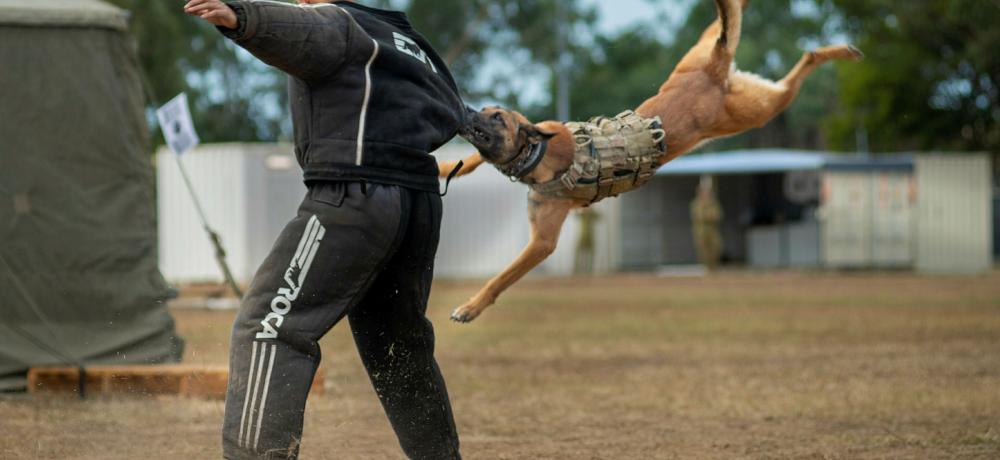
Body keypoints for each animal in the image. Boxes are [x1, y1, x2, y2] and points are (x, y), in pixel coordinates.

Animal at [442, 0, 864, 324]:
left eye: (498, 117)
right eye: (486, 110)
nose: (467, 109)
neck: (538, 153)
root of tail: (712, 71)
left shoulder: (542, 242)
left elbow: (501, 277)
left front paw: (470, 307)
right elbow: (471, 159)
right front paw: (446, 169)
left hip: (759, 109)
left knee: (805, 59)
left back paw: (841, 53)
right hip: (706, 59)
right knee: (730, 23)